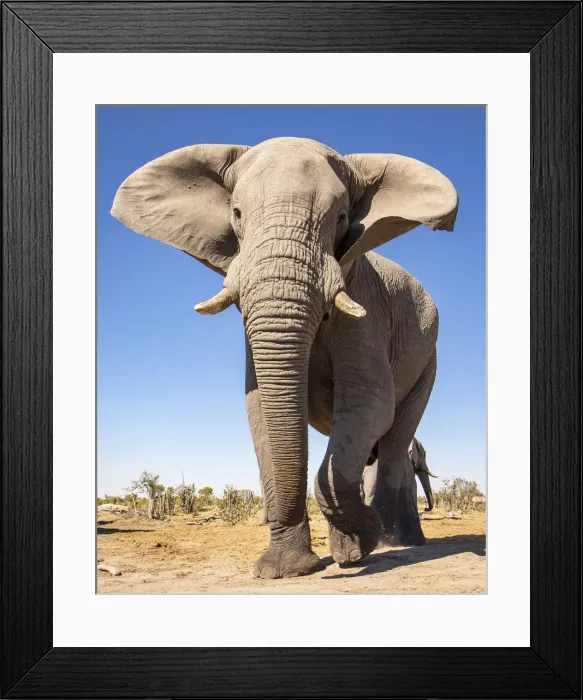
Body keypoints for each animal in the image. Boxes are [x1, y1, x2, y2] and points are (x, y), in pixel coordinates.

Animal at [111, 137, 458, 579]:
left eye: (341, 217)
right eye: (237, 214)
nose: (361, 542)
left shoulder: (366, 307)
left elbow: (369, 404)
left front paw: (358, 546)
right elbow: (260, 410)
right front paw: (286, 570)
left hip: (429, 360)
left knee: (395, 440)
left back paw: (395, 542)